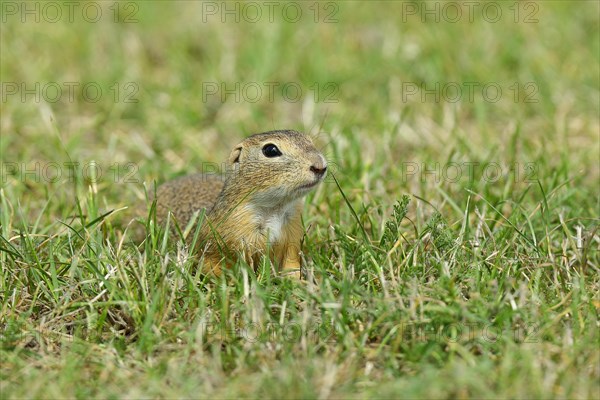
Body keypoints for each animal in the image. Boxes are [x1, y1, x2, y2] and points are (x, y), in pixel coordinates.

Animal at [145, 130, 326, 276]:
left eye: (310, 141)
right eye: (270, 150)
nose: (320, 166)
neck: (275, 208)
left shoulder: (292, 235)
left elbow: (291, 264)